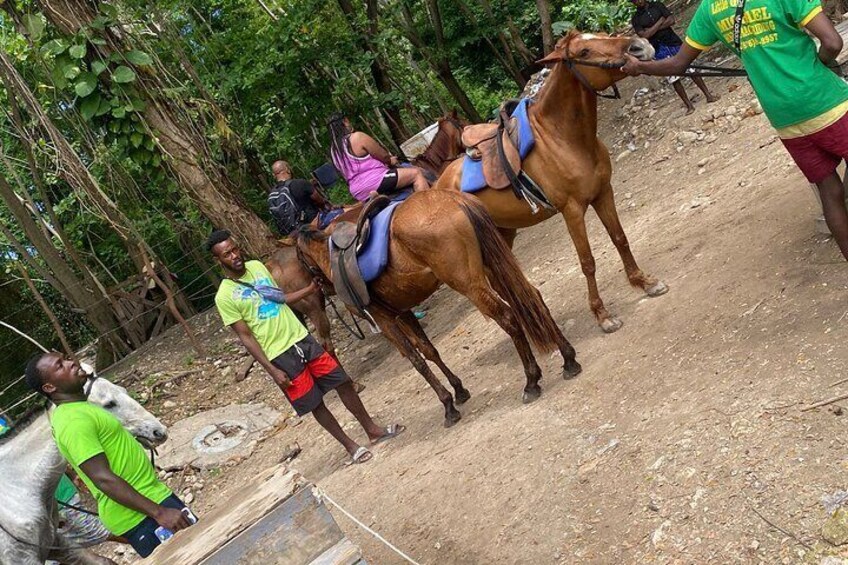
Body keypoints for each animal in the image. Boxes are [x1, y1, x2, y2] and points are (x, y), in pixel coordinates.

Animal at [438, 32, 668, 330]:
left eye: (601, 34)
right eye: (584, 51)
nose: (640, 46)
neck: (563, 138)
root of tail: (435, 189)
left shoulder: (603, 193)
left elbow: (620, 238)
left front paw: (644, 282)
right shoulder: (572, 211)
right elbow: (587, 262)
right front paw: (603, 315)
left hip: (502, 233)